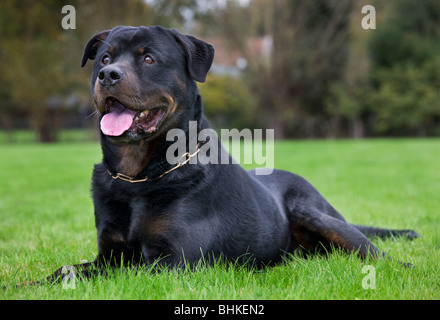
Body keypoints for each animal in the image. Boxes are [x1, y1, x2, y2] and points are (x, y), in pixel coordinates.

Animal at [36, 25, 418, 284]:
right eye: (105, 57)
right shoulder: (110, 254)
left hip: (316, 214)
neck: (138, 176)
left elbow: (112, 276)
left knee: (376, 254)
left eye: (148, 58)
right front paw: (34, 283)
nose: (108, 74)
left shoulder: (173, 261)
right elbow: (67, 270)